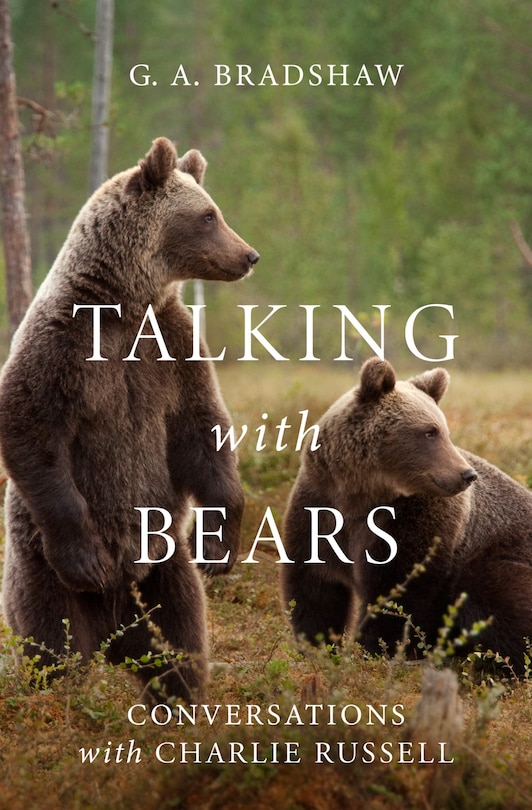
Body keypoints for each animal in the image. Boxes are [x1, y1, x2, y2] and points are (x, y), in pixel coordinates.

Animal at [0, 136, 259, 703]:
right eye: (208, 215)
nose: (249, 255)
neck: (125, 304)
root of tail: (113, 628)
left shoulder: (173, 348)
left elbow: (200, 428)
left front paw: (218, 543)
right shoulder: (64, 343)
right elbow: (29, 422)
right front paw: (86, 557)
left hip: (163, 566)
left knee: (182, 633)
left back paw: (178, 694)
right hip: (38, 565)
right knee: (53, 640)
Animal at [281, 357, 532, 675]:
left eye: (444, 430)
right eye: (430, 432)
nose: (466, 474)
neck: (361, 492)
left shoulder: (414, 519)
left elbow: (398, 589)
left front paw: (376, 650)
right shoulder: (319, 506)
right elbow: (315, 584)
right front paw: (319, 647)